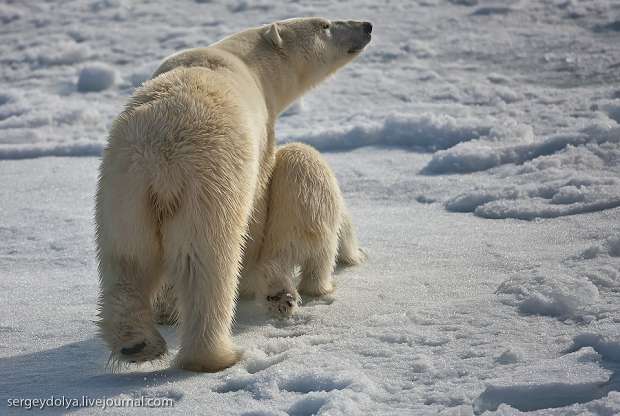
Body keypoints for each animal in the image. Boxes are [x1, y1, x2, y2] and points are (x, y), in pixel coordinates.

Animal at [94, 17, 370, 372]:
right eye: (324, 25)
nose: (367, 26)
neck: (244, 59)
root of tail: (160, 160)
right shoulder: (261, 132)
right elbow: (260, 197)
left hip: (123, 194)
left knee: (127, 261)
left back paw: (137, 344)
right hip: (207, 188)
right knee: (208, 265)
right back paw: (215, 355)